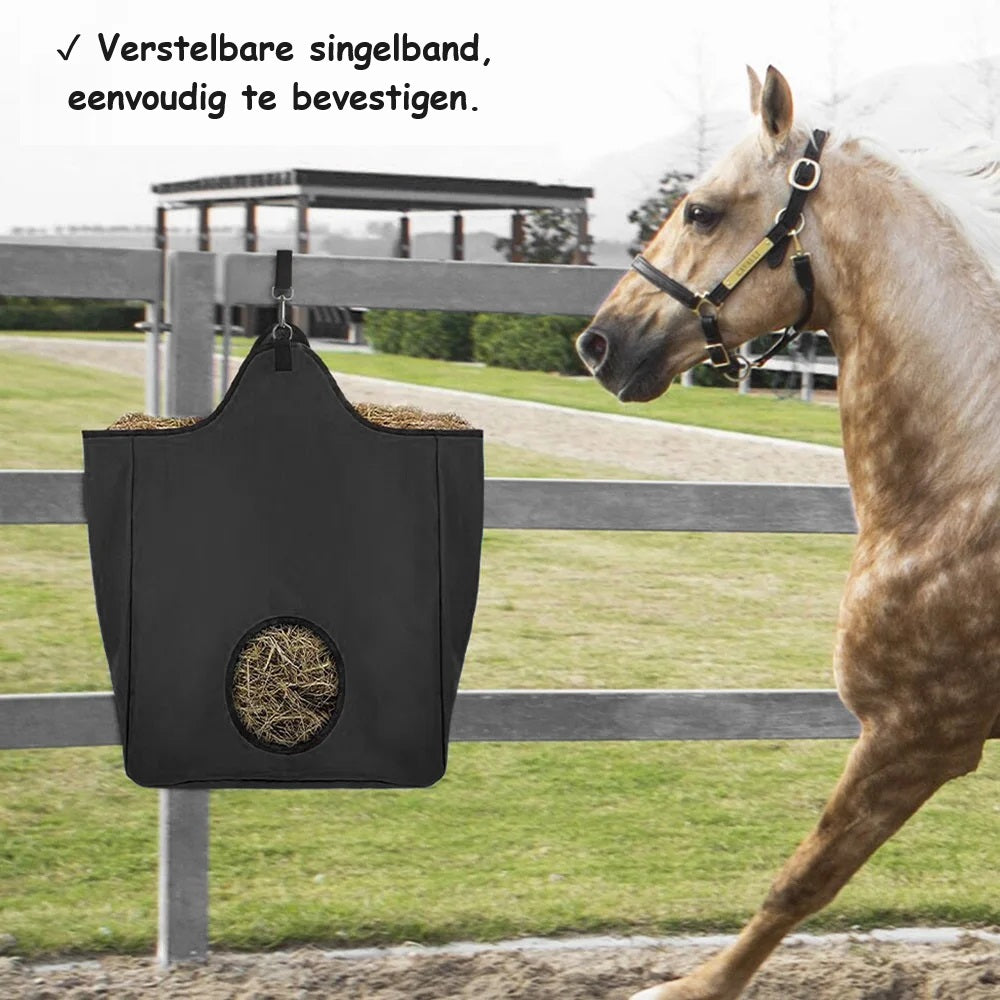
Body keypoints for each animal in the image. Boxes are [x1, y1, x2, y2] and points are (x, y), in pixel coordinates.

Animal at [577, 65, 1000, 1000]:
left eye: (701, 210)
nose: (599, 342)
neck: (961, 492)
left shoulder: (916, 736)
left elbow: (802, 880)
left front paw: (690, 988)